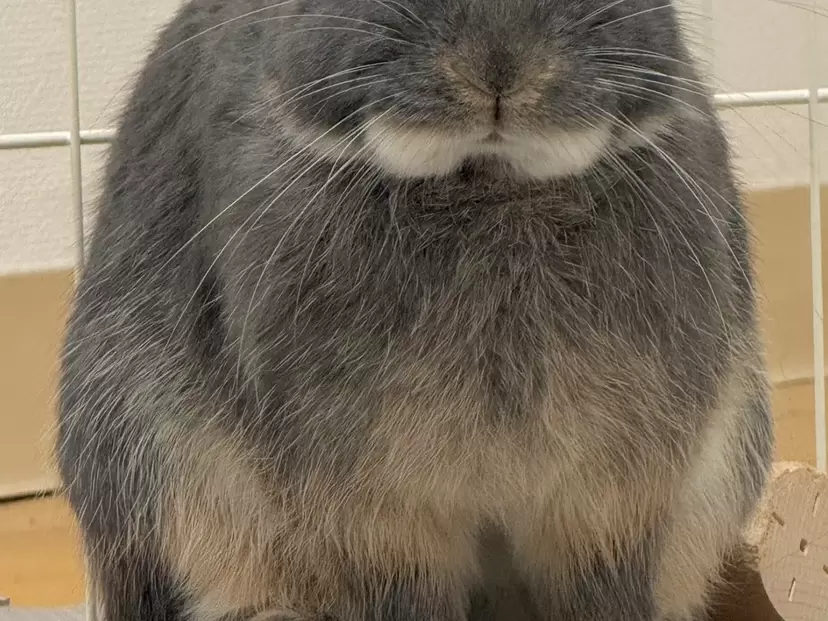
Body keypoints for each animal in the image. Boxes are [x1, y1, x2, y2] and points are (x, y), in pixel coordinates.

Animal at [56, 0, 774, 620]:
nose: (499, 64)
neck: (489, 182)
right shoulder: (374, 515)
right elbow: (406, 594)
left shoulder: (612, 500)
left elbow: (602, 589)